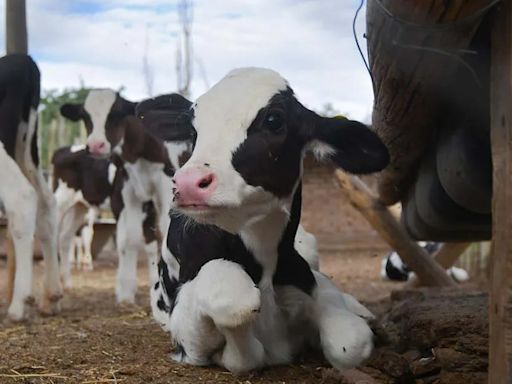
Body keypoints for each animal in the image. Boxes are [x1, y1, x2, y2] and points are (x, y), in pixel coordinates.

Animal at [150, 67, 390, 374]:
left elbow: (350, 342)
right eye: (194, 130)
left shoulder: (306, 280)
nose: (189, 183)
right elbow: (235, 308)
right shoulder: (187, 336)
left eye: (274, 120)